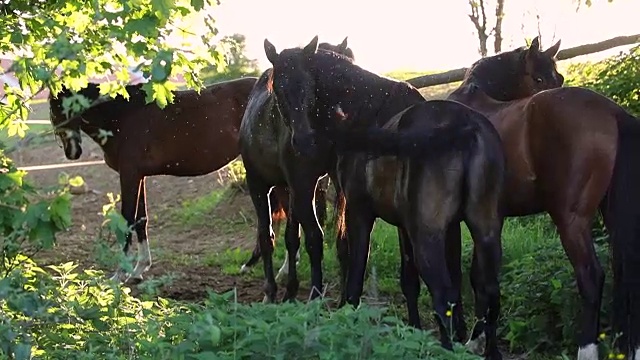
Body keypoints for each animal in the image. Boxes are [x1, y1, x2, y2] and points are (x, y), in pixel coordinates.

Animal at [47, 76, 308, 284]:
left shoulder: (129, 175)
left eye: (58, 107)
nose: (72, 152)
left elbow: (128, 220)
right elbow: (141, 219)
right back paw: (255, 264)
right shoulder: (138, 176)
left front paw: (120, 274)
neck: (121, 116)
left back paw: (284, 269)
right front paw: (139, 269)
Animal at [239, 36, 356, 302]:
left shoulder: (292, 185)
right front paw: (284, 290)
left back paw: (317, 294)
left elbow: (291, 236)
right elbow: (282, 237)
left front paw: (274, 292)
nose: (304, 141)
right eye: (279, 89)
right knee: (333, 237)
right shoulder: (270, 184)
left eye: (310, 86)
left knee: (317, 236)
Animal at [262, 35, 508, 358]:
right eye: (279, 88)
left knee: (443, 293)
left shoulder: (360, 213)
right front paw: (415, 331)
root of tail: (467, 129)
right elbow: (413, 280)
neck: (368, 113)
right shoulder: (433, 226)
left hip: (427, 235)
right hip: (486, 229)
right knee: (489, 291)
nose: (303, 142)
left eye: (308, 86)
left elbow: (356, 273)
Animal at [448, 35, 640, 360]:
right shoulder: (492, 219)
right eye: (539, 78)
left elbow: (480, 280)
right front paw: (476, 339)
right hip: (613, 218)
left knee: (591, 277)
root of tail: (614, 113)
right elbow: (480, 278)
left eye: (556, 77)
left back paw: (586, 350)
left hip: (570, 220)